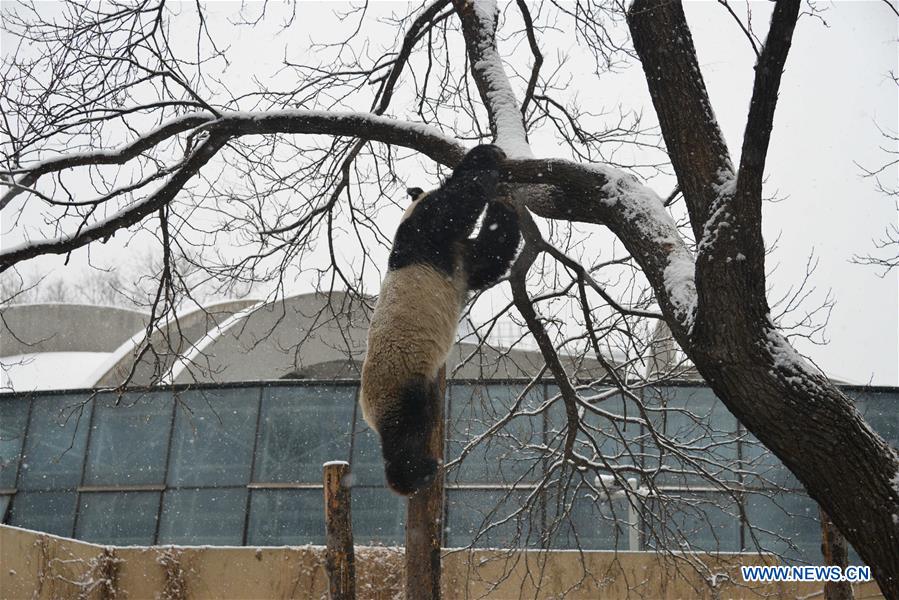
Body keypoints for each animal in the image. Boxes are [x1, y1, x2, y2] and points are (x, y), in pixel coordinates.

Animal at [359, 144, 521, 496]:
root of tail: (366, 411)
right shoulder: (426, 235)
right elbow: (454, 205)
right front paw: (488, 154)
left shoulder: (464, 260)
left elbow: (491, 253)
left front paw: (507, 199)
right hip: (401, 384)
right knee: (406, 434)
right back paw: (417, 474)